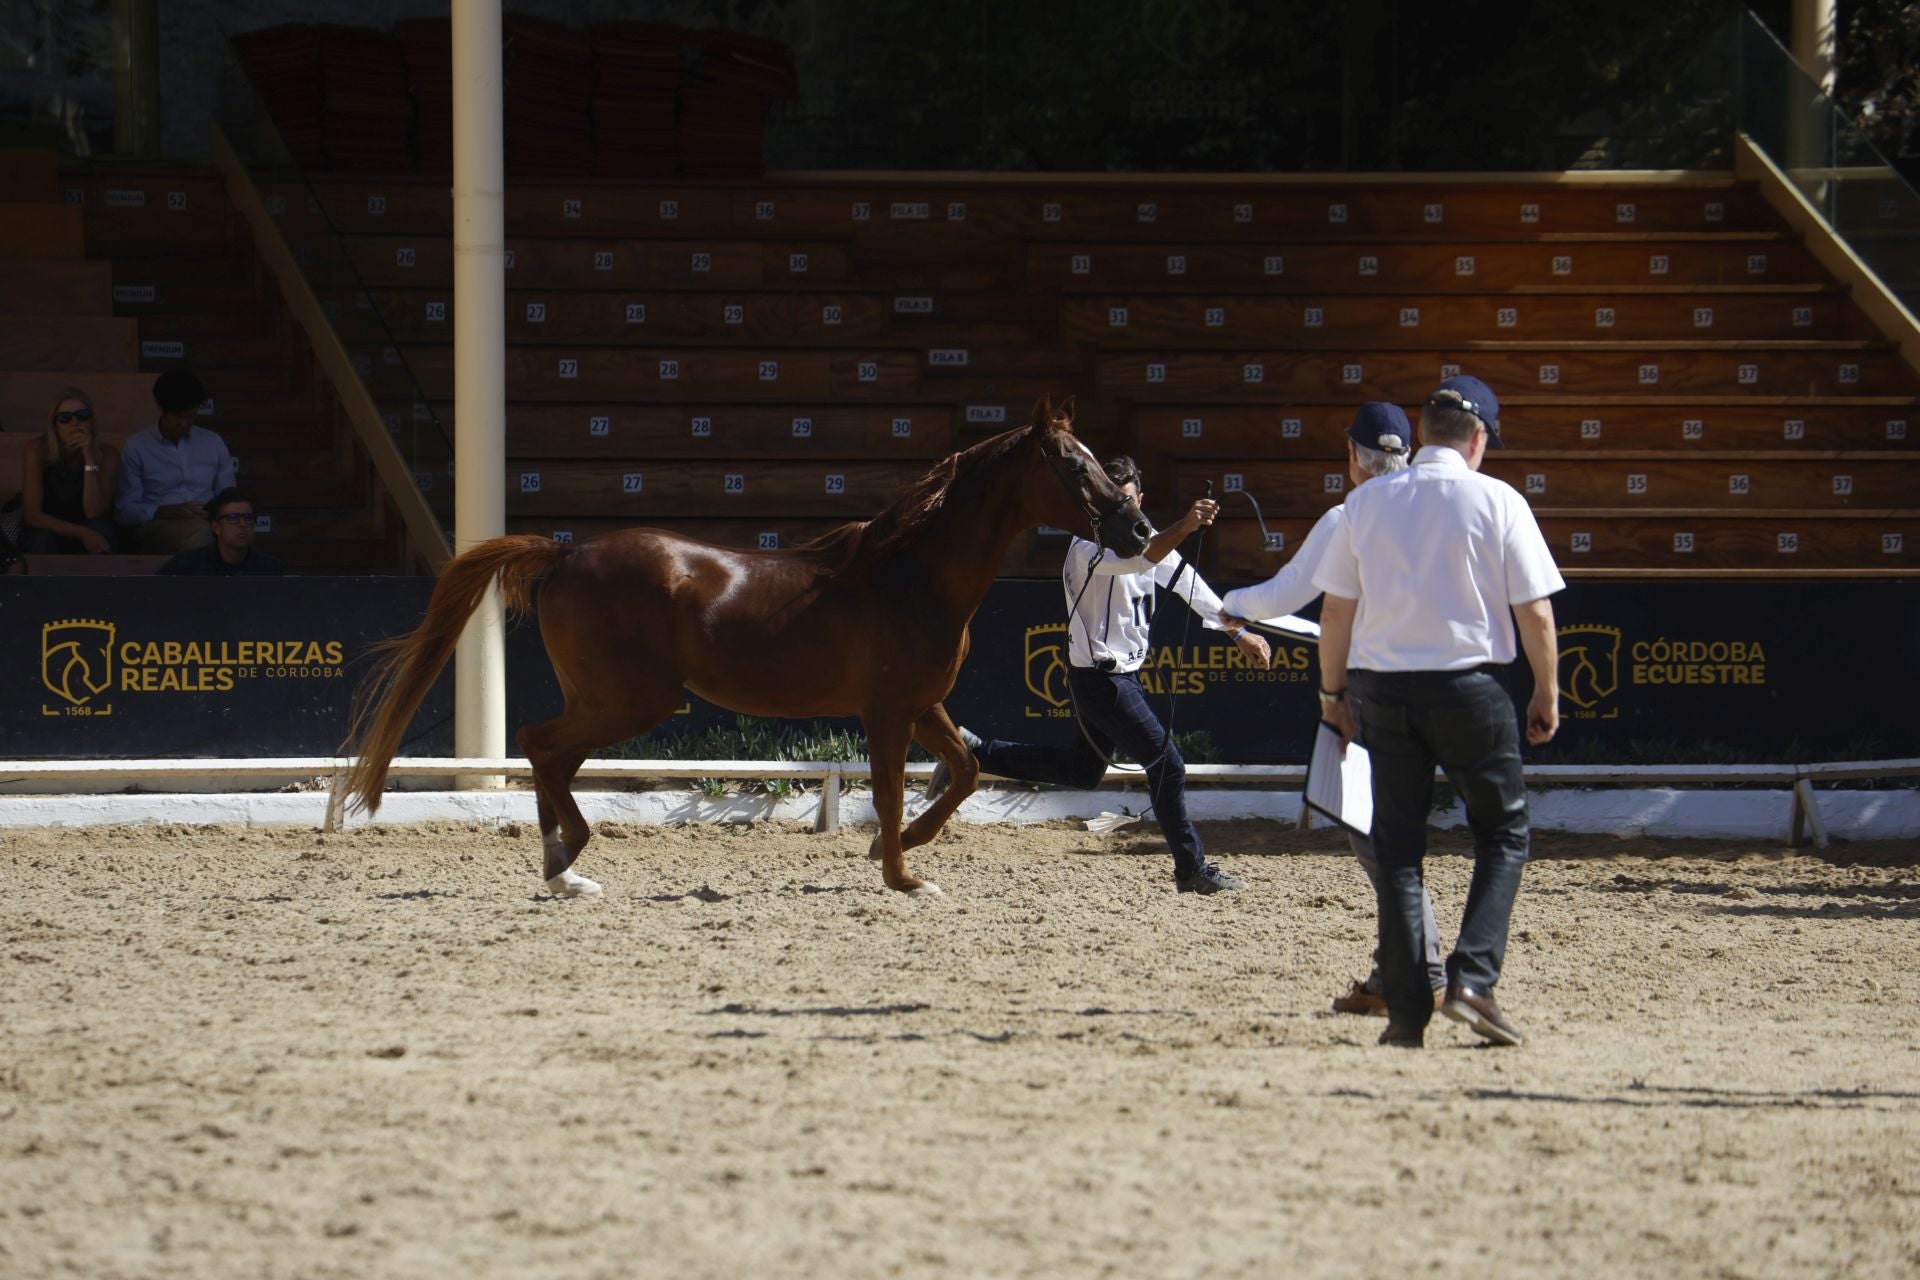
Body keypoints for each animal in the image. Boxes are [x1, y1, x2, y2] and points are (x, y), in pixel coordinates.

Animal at [329, 396, 1150, 897]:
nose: (1139, 529)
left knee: (550, 754)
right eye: (1071, 465)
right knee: (538, 743)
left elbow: (968, 771)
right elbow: (888, 791)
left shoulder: (922, 706)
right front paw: (902, 876)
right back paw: (565, 863)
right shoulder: (885, 711)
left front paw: (902, 851)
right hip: (629, 702)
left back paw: (563, 867)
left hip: (610, 701)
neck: (911, 573)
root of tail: (566, 553)